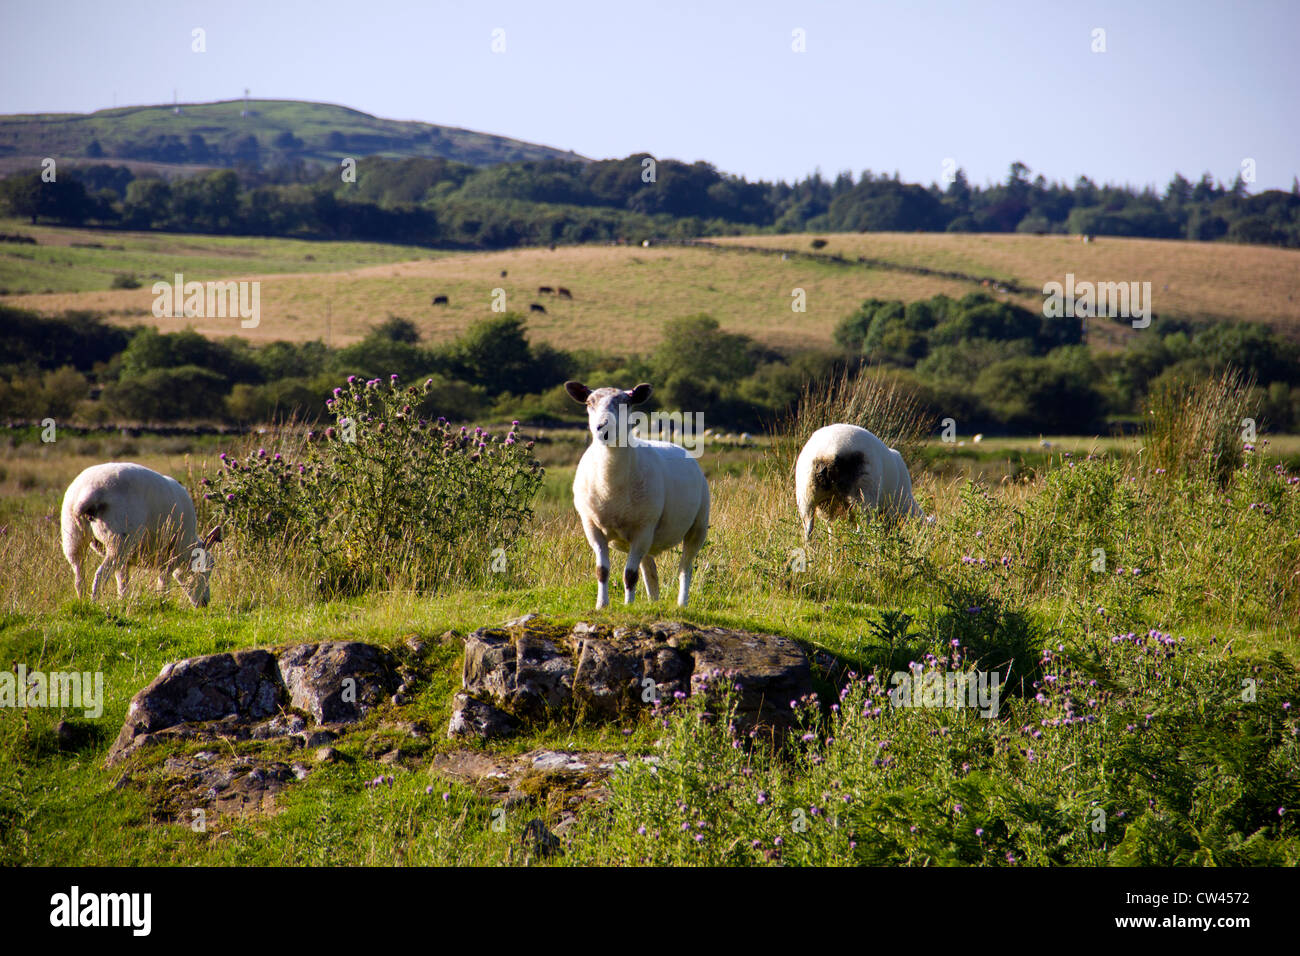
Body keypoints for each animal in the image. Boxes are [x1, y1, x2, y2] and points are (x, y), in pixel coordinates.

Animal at [60, 462, 221, 607]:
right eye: (206, 568)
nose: (205, 603)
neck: (188, 546)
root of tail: (88, 494)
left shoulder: (128, 560)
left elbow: (122, 580)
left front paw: (123, 600)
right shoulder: (171, 555)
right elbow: (164, 581)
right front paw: (162, 600)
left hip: (73, 536)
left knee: (79, 575)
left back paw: (82, 601)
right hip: (119, 540)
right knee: (100, 574)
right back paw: (94, 602)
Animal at [565, 382, 710, 608]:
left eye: (627, 403)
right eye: (589, 403)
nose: (603, 428)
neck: (611, 489)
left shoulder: (643, 529)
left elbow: (630, 575)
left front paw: (627, 605)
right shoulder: (592, 526)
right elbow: (602, 571)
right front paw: (602, 605)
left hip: (697, 525)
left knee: (685, 568)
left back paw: (682, 603)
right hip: (647, 538)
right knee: (650, 571)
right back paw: (653, 601)